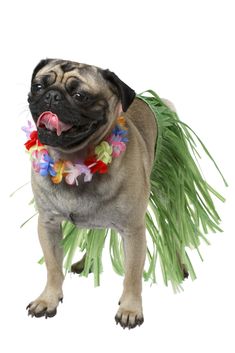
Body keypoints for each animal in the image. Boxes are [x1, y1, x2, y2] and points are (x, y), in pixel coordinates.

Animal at [26, 59, 158, 328]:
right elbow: (53, 267)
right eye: (38, 86)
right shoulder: (48, 224)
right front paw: (48, 299)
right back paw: (85, 263)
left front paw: (130, 308)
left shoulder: (133, 230)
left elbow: (132, 274)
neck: (72, 158)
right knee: (95, 236)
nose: (52, 96)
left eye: (80, 96)